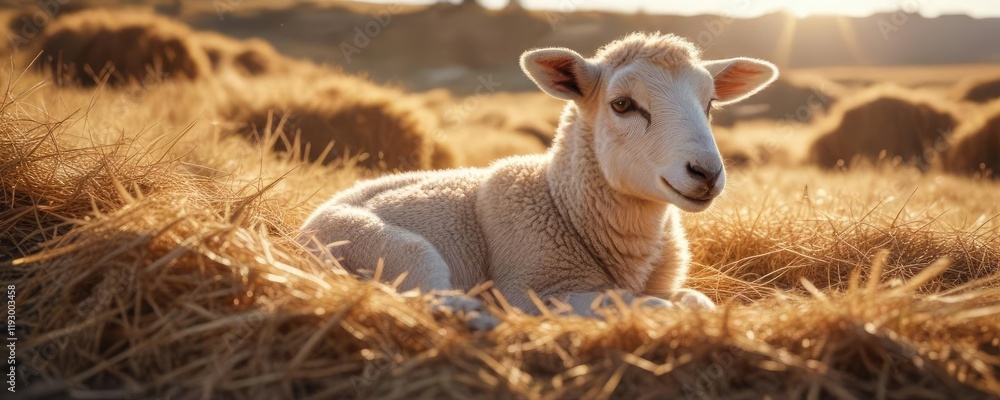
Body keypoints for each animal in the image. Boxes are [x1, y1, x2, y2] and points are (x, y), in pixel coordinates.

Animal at [300, 32, 778, 327]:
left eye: (710, 103)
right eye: (623, 104)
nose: (707, 172)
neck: (562, 203)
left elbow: (696, 301)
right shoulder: (532, 290)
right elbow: (637, 304)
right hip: (389, 247)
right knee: (425, 293)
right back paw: (477, 317)